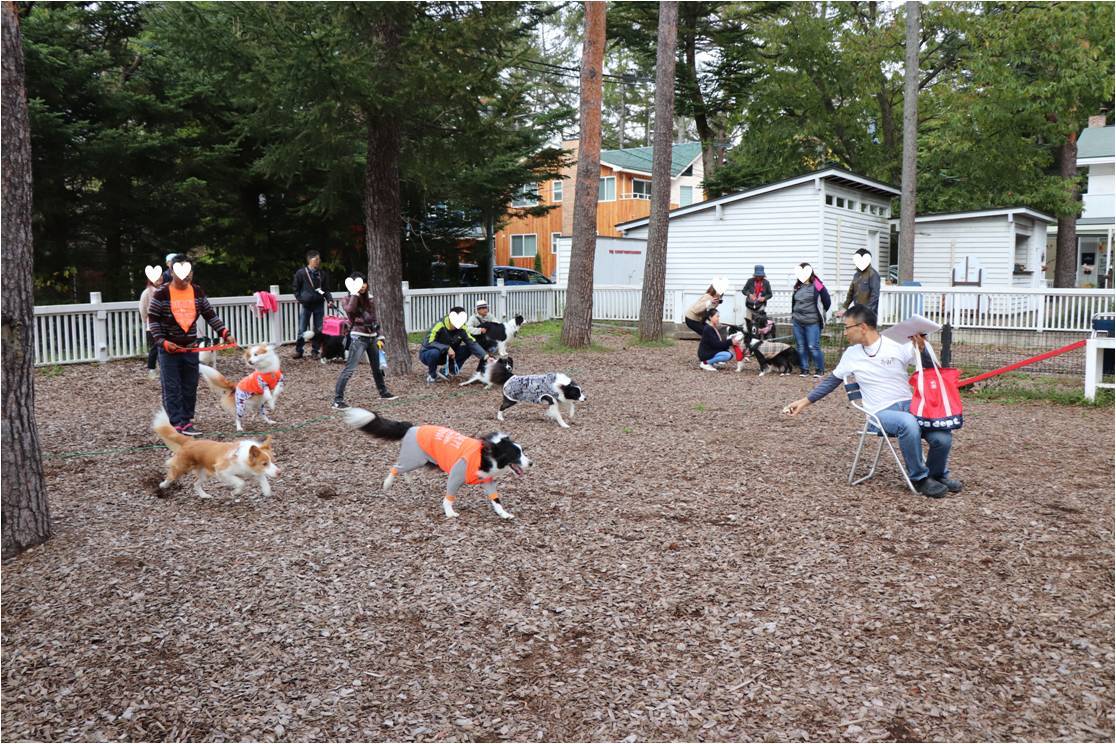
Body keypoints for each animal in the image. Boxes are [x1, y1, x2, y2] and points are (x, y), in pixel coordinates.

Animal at [341, 408, 528, 517]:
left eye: (523, 451)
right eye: (516, 454)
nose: (531, 463)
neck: (486, 455)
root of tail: (411, 428)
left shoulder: (487, 481)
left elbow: (496, 500)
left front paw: (504, 514)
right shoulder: (455, 476)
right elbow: (449, 497)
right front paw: (450, 513)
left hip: (417, 460)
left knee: (401, 467)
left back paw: (410, 483)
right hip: (415, 459)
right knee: (395, 467)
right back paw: (387, 484)